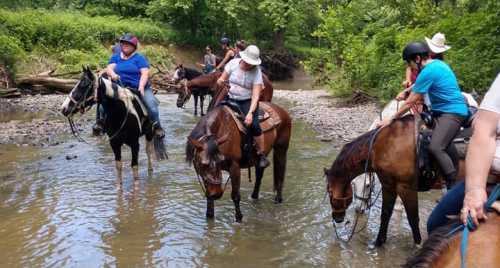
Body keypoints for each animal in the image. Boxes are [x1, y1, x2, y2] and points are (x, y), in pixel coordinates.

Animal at [322, 115, 466, 247]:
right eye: (353, 185)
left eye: (330, 191)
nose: (337, 218)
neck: (385, 146)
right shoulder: (389, 186)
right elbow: (385, 214)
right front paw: (378, 243)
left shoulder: (406, 188)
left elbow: (413, 218)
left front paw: (418, 244)